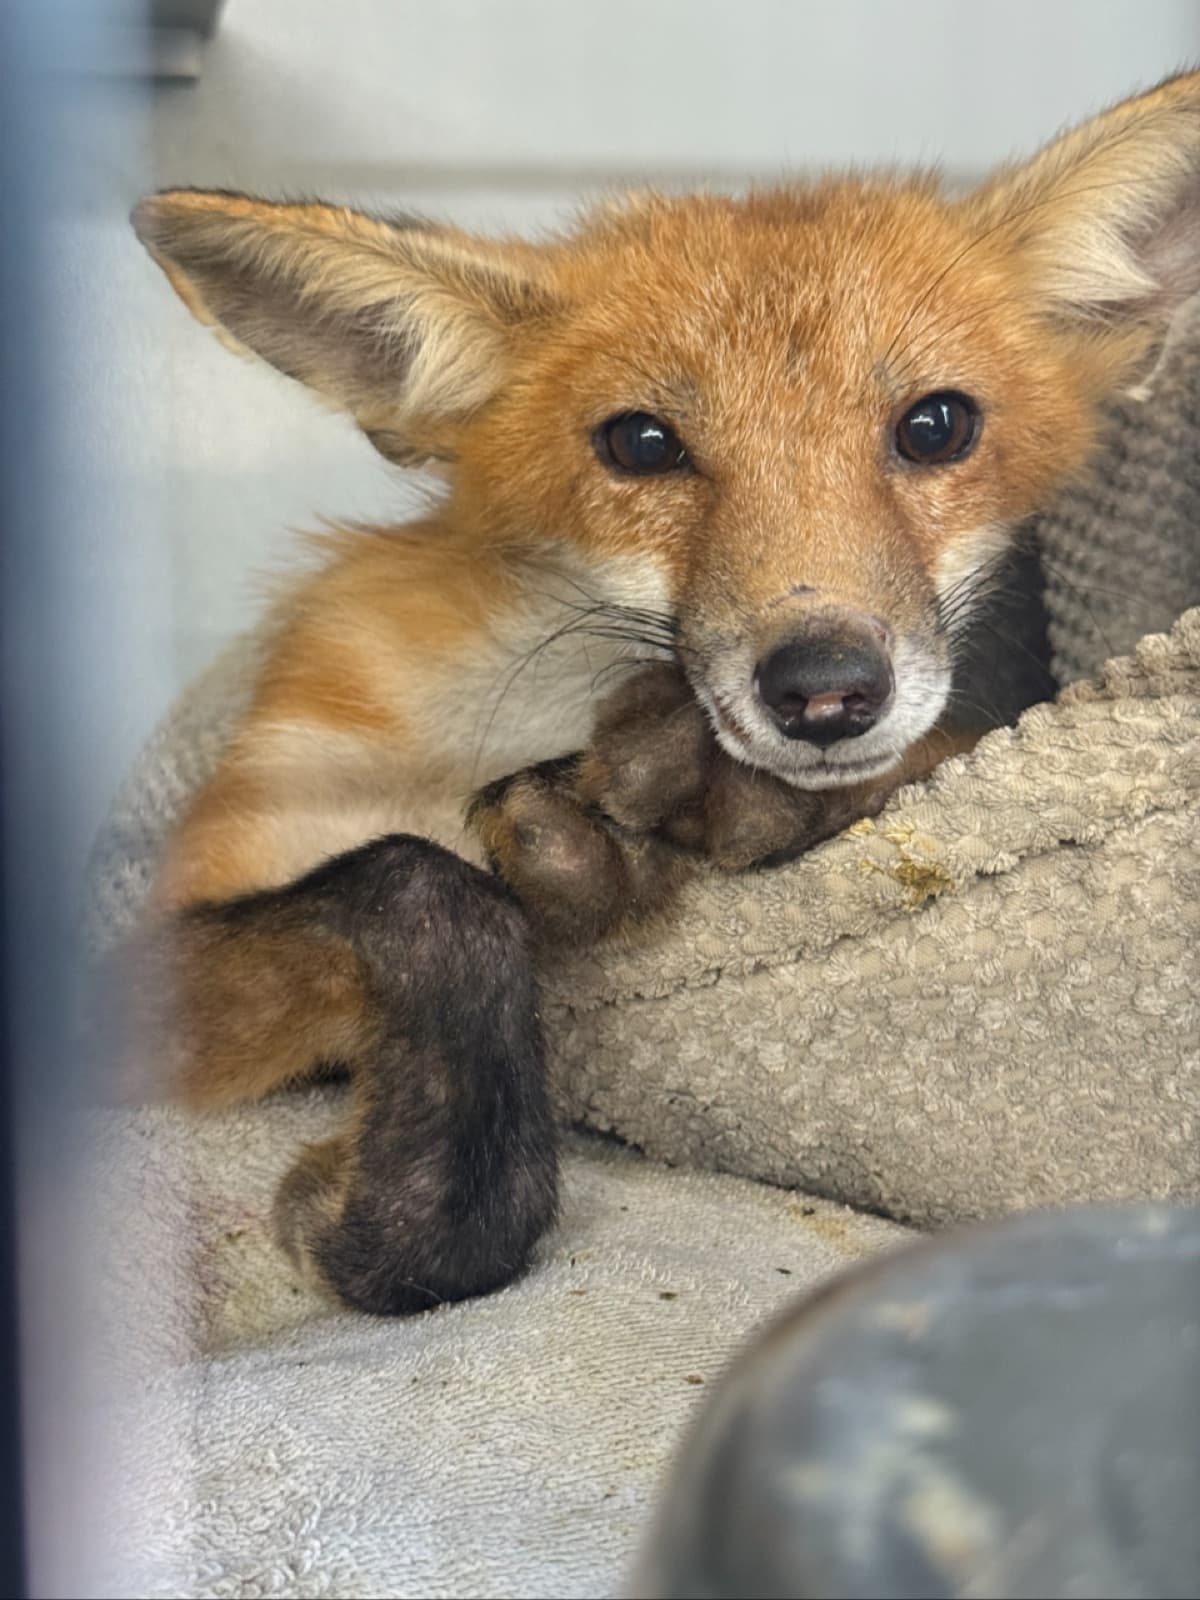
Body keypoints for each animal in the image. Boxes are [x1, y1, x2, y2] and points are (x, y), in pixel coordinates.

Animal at [119, 72, 1200, 1316]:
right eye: (642, 443)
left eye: (936, 425)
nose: (825, 691)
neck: (529, 737)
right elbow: (428, 891)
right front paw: (421, 1211)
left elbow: (933, 754)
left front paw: (701, 793)